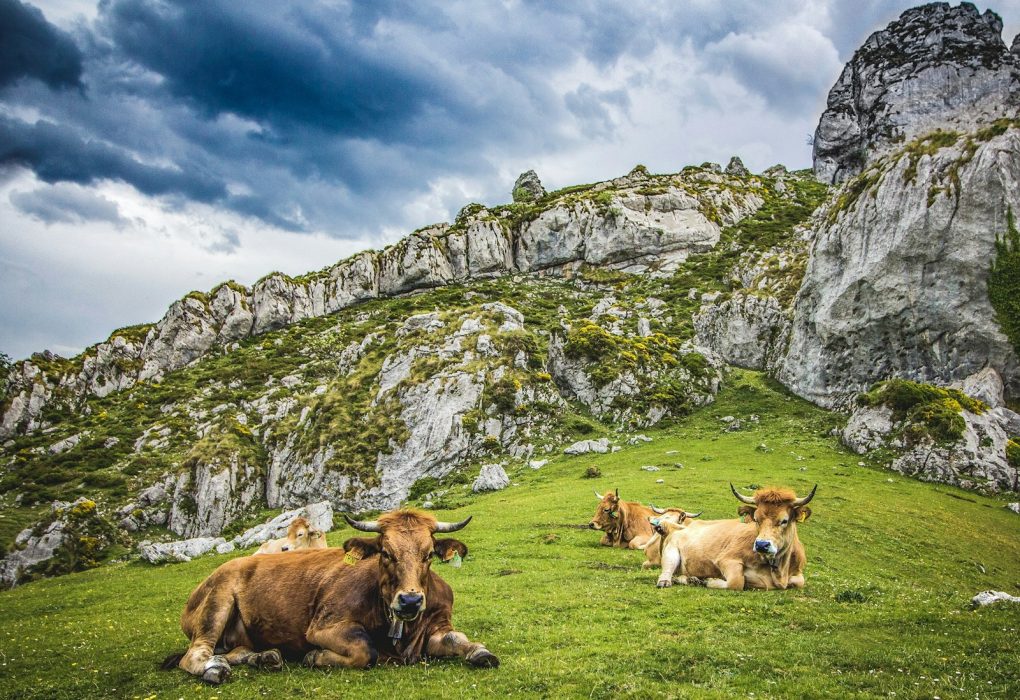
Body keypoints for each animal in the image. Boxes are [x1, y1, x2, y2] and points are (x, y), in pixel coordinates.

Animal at [164, 510, 497, 685]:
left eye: (428, 555)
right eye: (386, 553)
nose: (410, 601)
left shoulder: (437, 626)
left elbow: (457, 639)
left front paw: (480, 652)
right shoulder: (324, 626)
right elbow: (364, 649)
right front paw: (316, 657)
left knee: (238, 650)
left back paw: (266, 657)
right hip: (216, 603)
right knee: (195, 654)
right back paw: (214, 668)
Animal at [656, 485, 816, 587]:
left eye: (784, 520)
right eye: (756, 519)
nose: (762, 545)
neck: (779, 572)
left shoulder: (797, 573)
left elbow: (799, 582)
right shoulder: (727, 560)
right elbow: (736, 582)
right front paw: (709, 581)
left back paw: (691, 579)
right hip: (671, 551)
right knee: (667, 571)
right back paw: (668, 581)